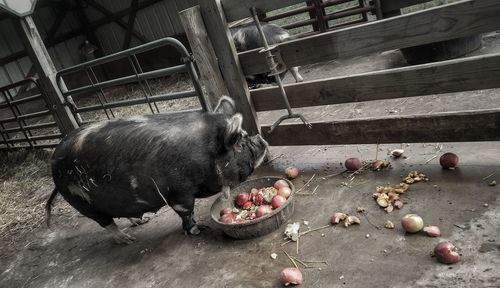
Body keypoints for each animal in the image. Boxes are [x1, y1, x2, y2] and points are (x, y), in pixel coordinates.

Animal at [46, 97, 270, 243]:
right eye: (239, 143)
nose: (261, 139)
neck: (203, 153)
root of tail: (53, 161)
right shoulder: (179, 193)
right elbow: (186, 212)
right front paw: (198, 230)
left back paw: (140, 221)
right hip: (84, 203)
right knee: (106, 223)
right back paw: (128, 240)